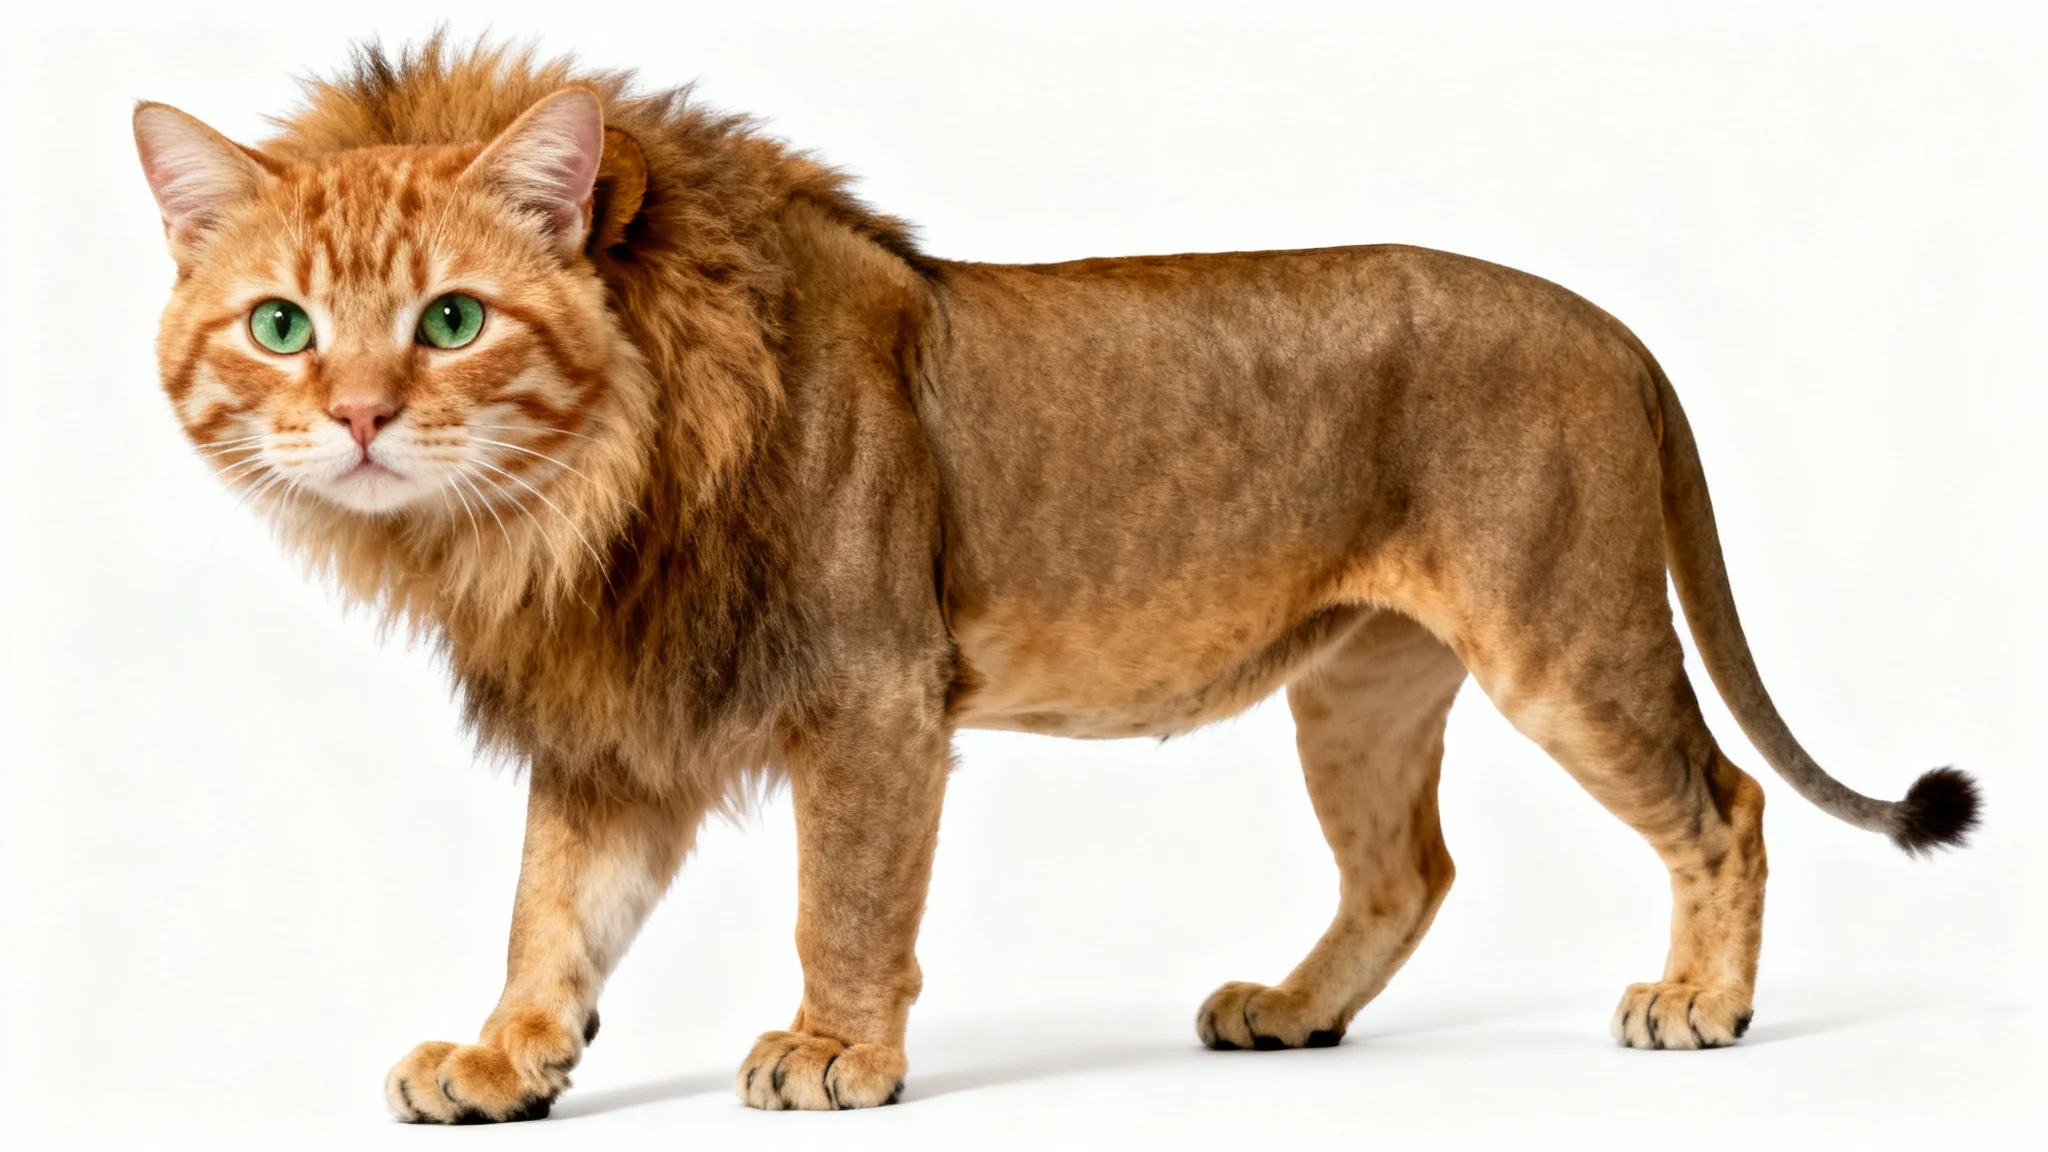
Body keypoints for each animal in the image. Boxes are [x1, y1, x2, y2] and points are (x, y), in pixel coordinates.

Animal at [130, 39, 1979, 1122]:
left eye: (452, 317)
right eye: (280, 324)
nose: (357, 417)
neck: (574, 502)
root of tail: (1615, 329)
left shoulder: (873, 692)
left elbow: (845, 898)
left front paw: (833, 1057)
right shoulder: (621, 716)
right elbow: (552, 908)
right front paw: (508, 1059)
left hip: (1560, 631)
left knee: (1723, 801)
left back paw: (1701, 1007)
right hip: (1359, 681)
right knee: (1410, 870)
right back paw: (1287, 1014)